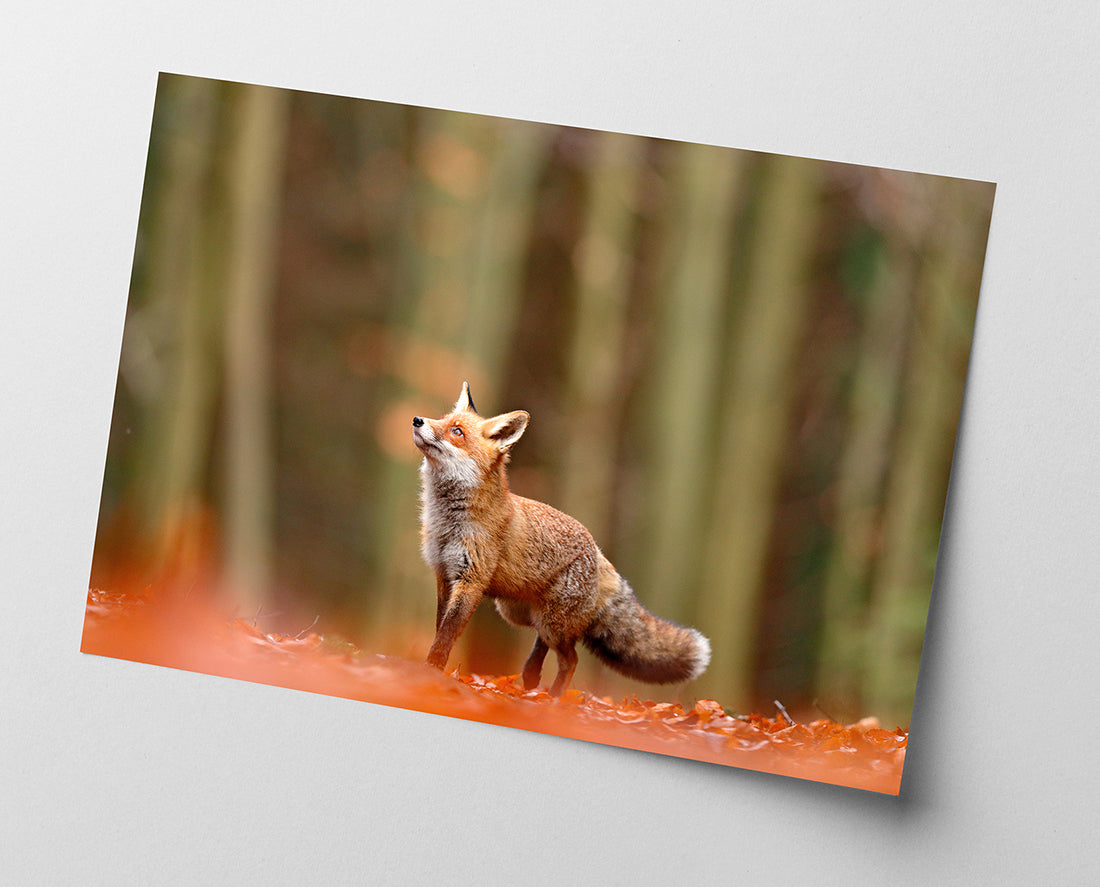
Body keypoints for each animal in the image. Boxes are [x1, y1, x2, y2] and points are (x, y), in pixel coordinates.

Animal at [412, 382, 710, 697]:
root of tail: (598, 552)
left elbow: (446, 635)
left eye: (457, 431)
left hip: (551, 622)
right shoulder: (444, 574)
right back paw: (531, 680)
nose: (417, 420)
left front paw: (431, 671)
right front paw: (429, 669)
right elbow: (439, 629)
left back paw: (554, 700)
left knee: (571, 659)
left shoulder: (471, 581)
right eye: (442, 419)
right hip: (523, 613)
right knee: (543, 645)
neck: (448, 522)